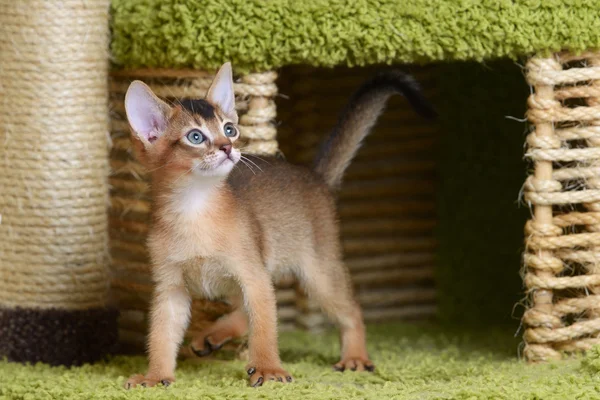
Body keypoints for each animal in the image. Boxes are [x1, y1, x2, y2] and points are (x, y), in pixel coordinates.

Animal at [122, 63, 436, 388]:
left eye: (230, 129)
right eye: (195, 137)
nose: (227, 148)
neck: (193, 209)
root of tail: (314, 176)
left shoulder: (252, 275)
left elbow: (265, 327)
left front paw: (267, 368)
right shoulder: (170, 287)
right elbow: (161, 335)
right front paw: (155, 376)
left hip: (319, 271)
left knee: (350, 309)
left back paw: (356, 357)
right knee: (244, 307)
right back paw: (212, 336)